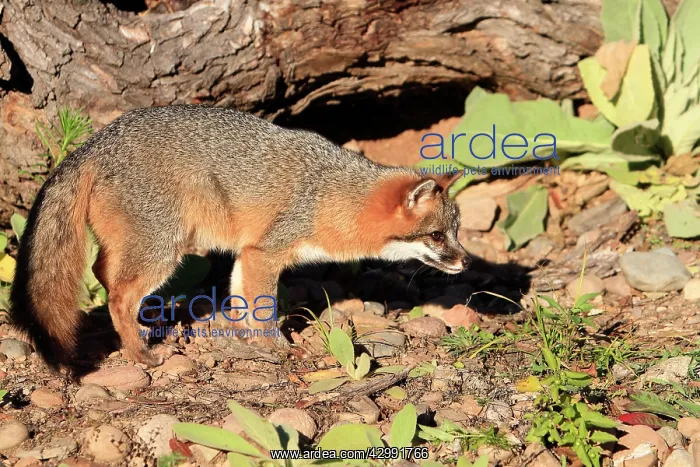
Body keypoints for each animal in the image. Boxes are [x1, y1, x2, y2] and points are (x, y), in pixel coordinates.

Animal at [10, 105, 470, 369]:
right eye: (436, 236)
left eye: (457, 231)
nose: (466, 261)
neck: (330, 191)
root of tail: (93, 144)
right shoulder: (265, 252)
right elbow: (263, 308)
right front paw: (278, 347)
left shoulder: (246, 254)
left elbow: (242, 301)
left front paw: (250, 340)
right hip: (163, 250)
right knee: (119, 296)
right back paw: (139, 354)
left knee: (103, 272)